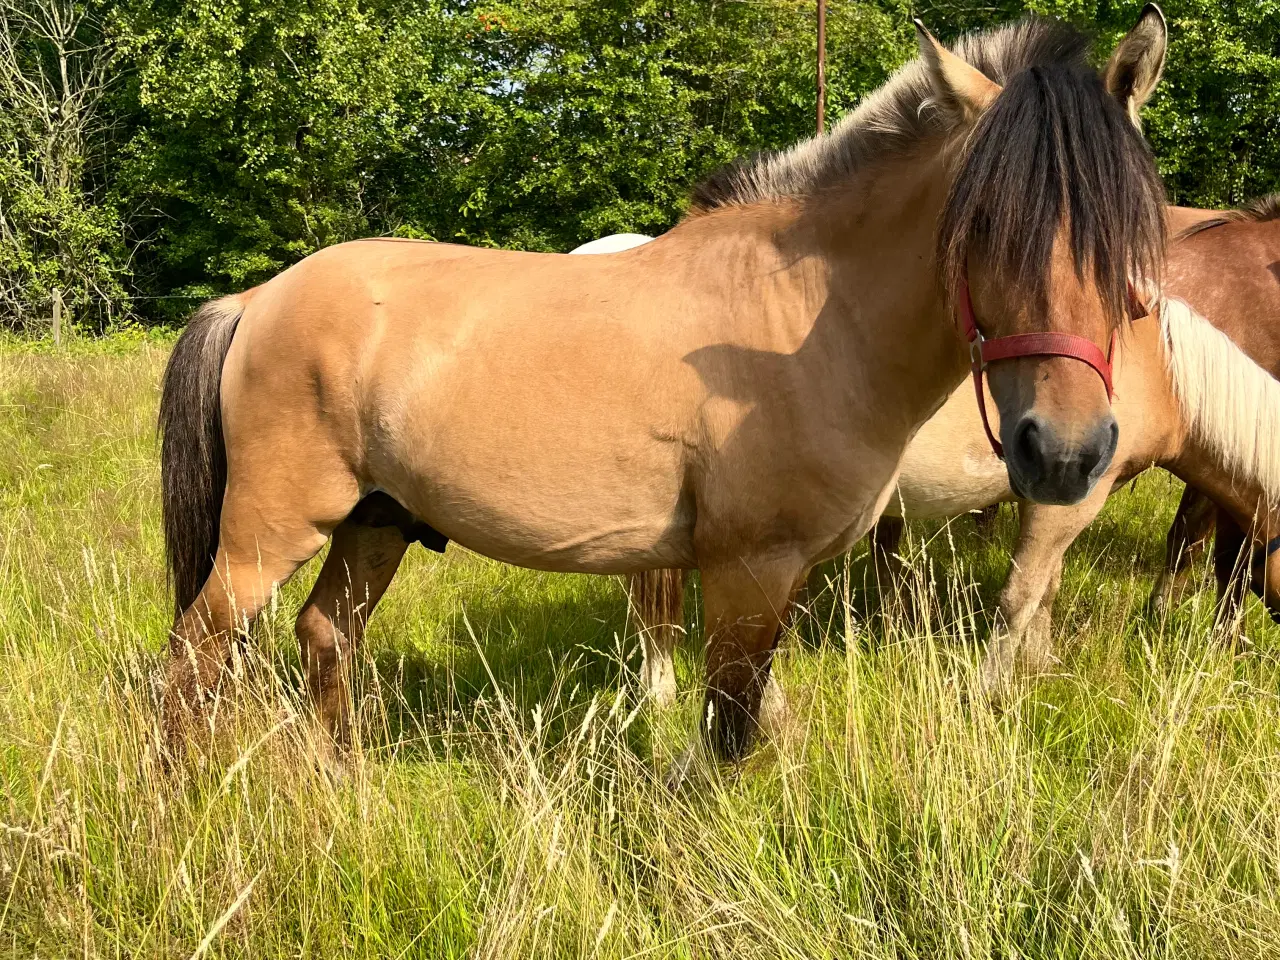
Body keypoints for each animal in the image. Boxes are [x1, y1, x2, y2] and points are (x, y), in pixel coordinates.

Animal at [157, 15, 1172, 768]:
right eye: (984, 223)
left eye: (1132, 224)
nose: (1067, 453)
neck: (806, 318)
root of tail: (258, 299)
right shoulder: (747, 567)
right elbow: (731, 731)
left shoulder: (771, 578)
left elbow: (761, 719)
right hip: (265, 536)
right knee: (191, 659)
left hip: (376, 521)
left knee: (326, 635)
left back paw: (343, 778)